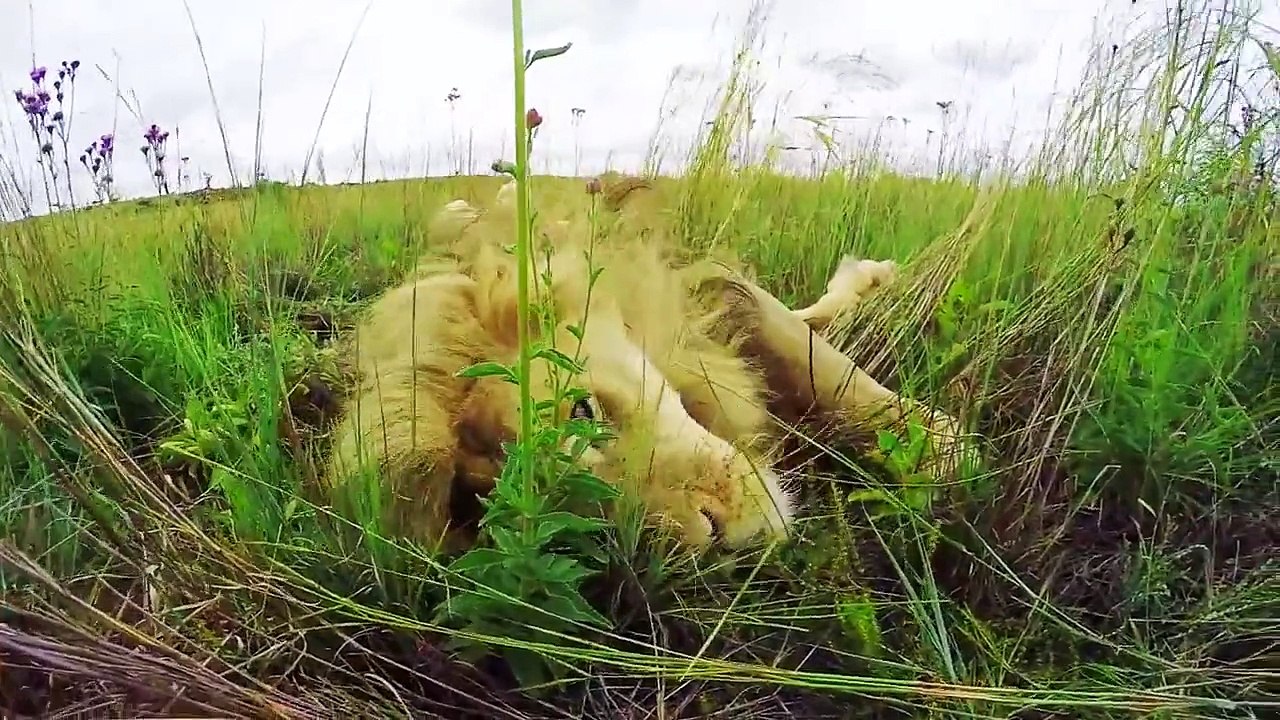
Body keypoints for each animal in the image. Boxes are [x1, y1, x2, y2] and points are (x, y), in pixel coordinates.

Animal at [319, 176, 972, 553]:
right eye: (565, 507)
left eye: (584, 411)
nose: (718, 541)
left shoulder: (708, 293)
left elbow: (826, 370)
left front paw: (940, 453)